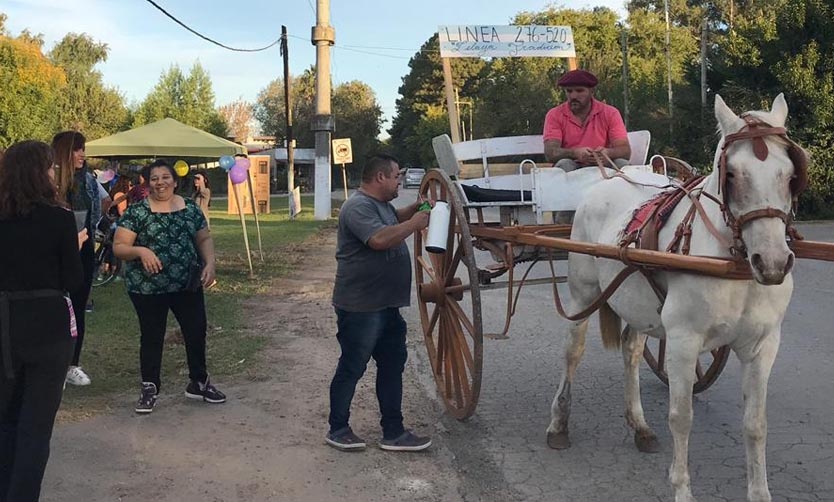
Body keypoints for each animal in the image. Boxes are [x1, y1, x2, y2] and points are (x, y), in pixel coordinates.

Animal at [544, 95, 808, 502]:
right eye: (732, 175)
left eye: (790, 173)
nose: (773, 262)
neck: (733, 264)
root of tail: (606, 179)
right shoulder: (684, 342)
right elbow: (682, 418)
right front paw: (682, 489)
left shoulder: (763, 345)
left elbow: (756, 423)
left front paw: (760, 492)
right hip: (581, 293)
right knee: (572, 351)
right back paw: (559, 423)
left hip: (637, 302)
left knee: (632, 351)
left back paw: (639, 426)